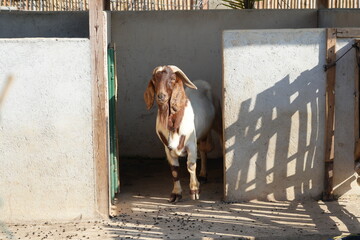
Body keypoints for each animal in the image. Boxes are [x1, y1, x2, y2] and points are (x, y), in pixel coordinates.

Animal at [143, 64, 219, 202]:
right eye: (154, 80)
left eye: (173, 79)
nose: (161, 96)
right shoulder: (168, 148)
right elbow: (174, 170)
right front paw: (176, 194)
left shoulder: (191, 145)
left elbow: (191, 165)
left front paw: (194, 191)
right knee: (203, 151)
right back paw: (203, 175)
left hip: (217, 121)